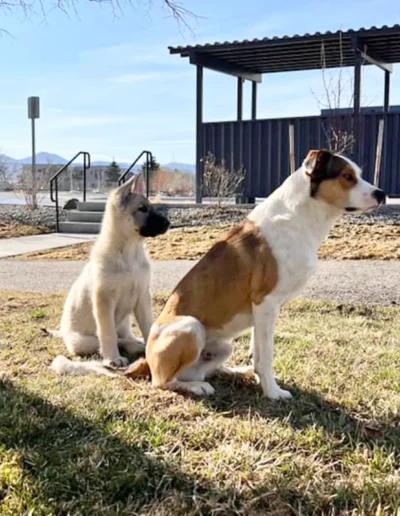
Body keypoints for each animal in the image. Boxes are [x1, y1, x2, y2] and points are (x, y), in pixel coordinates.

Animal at [50, 174, 169, 374]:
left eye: (151, 206)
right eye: (142, 209)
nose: (169, 223)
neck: (129, 252)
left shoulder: (143, 297)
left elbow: (148, 326)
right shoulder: (104, 300)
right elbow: (108, 333)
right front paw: (113, 358)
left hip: (125, 323)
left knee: (126, 336)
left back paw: (137, 343)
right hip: (83, 341)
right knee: (115, 340)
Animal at [126, 149, 386, 400]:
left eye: (359, 174)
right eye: (347, 176)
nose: (382, 194)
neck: (300, 217)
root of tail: (147, 360)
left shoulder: (262, 312)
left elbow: (258, 352)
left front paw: (260, 379)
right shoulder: (266, 303)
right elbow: (266, 356)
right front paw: (272, 392)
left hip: (224, 346)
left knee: (201, 370)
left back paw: (234, 371)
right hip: (190, 327)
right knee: (164, 381)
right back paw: (198, 387)